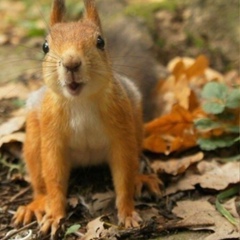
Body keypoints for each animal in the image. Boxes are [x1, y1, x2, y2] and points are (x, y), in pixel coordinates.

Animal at [12, 0, 160, 236]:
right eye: (45, 46)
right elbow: (53, 177)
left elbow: (124, 174)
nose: (71, 63)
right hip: (34, 139)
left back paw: (142, 178)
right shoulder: (52, 137)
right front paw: (54, 215)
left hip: (136, 124)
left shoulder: (122, 132)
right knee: (39, 181)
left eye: (100, 42)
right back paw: (36, 204)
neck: (79, 102)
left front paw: (127, 213)